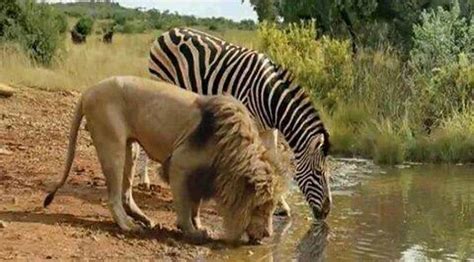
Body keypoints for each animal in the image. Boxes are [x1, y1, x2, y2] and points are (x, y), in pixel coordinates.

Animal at [42, 75, 284, 244]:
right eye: (261, 207)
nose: (267, 235)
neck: (233, 152)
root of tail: (88, 91)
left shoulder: (202, 175)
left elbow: (196, 205)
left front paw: (200, 226)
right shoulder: (180, 164)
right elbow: (184, 205)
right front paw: (191, 231)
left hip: (131, 148)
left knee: (126, 193)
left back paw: (145, 219)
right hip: (112, 144)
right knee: (113, 198)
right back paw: (128, 225)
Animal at [143, 27, 332, 219]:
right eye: (319, 173)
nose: (326, 212)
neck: (271, 99)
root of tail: (170, 31)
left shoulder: (269, 129)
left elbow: (274, 162)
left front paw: (281, 205)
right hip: (161, 81)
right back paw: (147, 181)